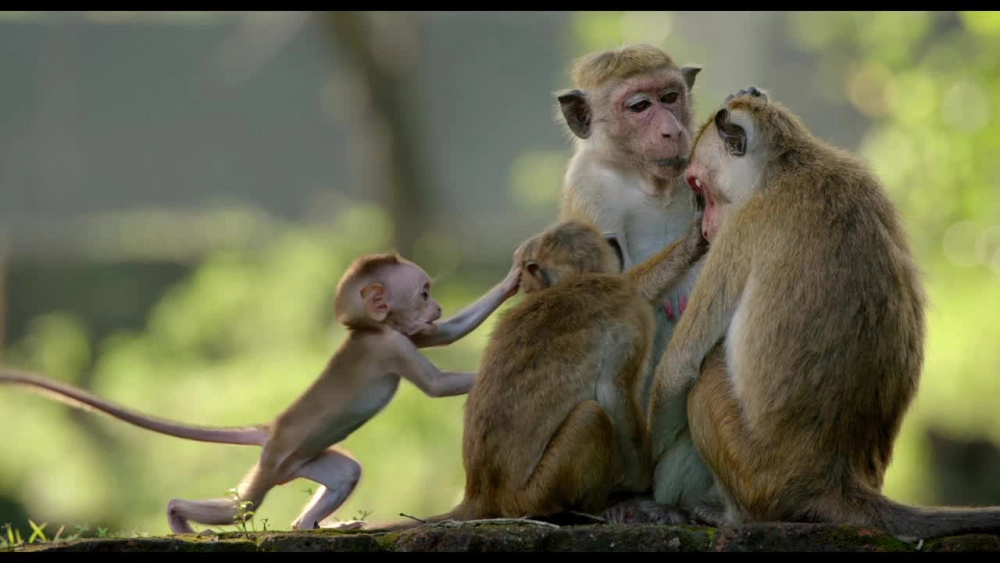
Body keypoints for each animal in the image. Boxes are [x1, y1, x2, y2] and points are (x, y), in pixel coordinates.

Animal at [0, 251, 521, 534]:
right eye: (424, 292)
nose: (437, 305)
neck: (371, 328)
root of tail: (268, 429)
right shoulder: (388, 346)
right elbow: (435, 385)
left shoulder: (400, 335)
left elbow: (445, 337)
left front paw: (513, 281)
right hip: (273, 464)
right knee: (241, 508)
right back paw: (178, 517)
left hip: (303, 460)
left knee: (344, 474)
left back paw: (311, 526)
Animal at [369, 207, 709, 532]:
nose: (525, 288)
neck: (575, 283)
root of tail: (481, 492)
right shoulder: (626, 311)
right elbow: (615, 391)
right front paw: (641, 484)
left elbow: (636, 287)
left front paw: (691, 243)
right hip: (536, 493)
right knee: (591, 417)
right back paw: (591, 508)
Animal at [554, 44, 716, 512]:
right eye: (640, 107)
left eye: (670, 97)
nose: (671, 131)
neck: (646, 180)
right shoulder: (589, 190)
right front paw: (692, 238)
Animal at [638, 85, 1000, 540]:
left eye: (699, 185)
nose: (705, 229)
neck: (790, 167)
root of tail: (833, 478)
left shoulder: (741, 229)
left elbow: (680, 369)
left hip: (755, 471)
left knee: (704, 381)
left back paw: (736, 515)